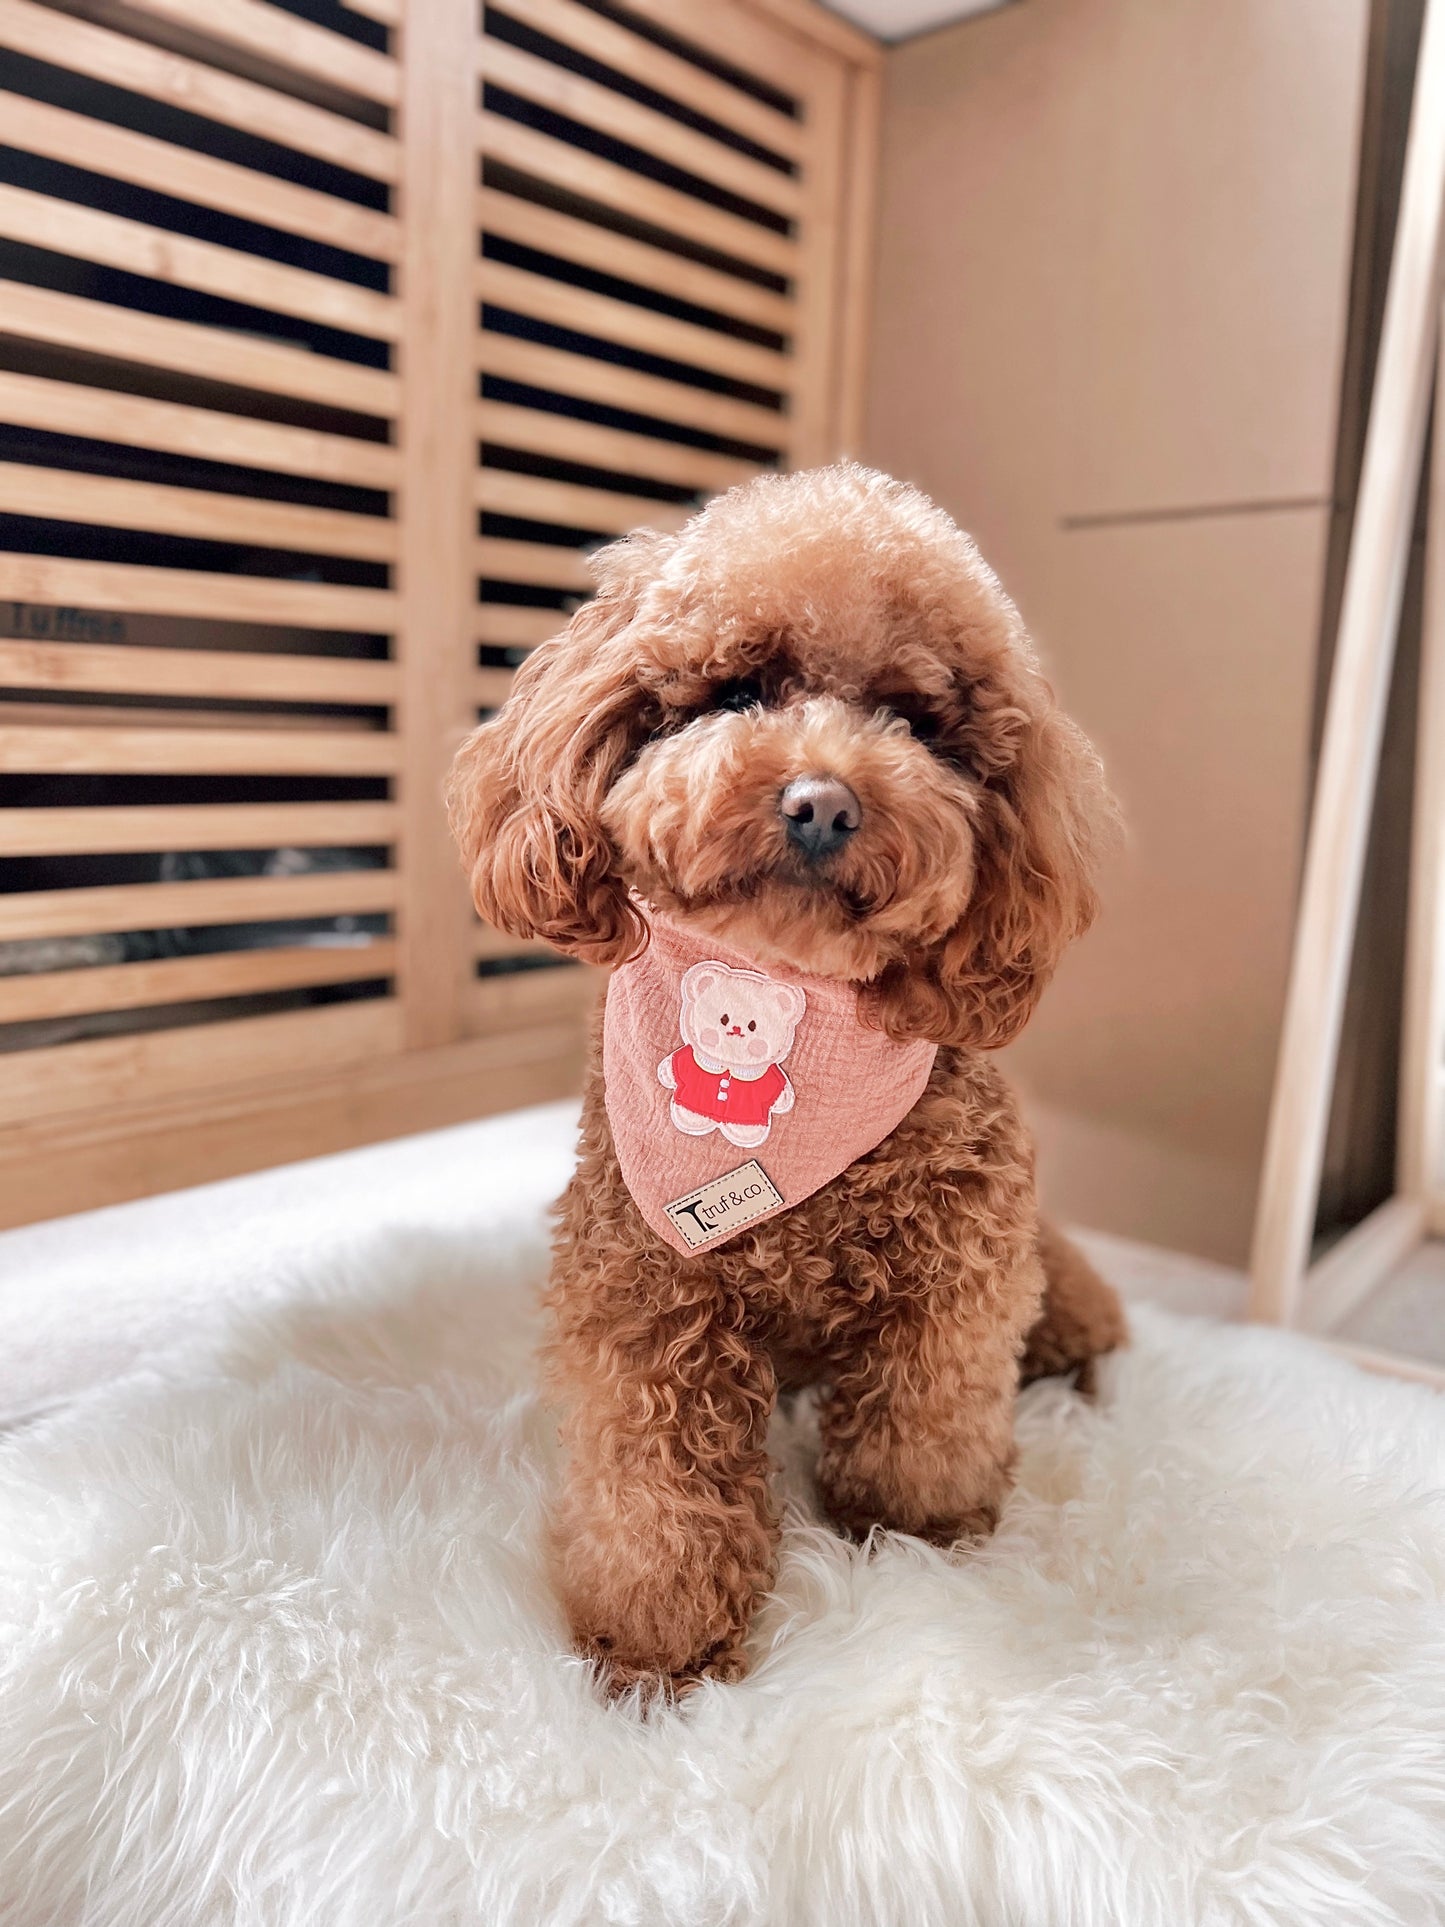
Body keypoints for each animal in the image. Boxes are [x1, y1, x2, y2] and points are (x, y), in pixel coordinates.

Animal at [658, 960, 807, 1148]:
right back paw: (690, 1117)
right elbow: (674, 1064)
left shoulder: (774, 1079)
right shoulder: (684, 1058)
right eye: (724, 1019)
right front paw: (666, 1073)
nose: (736, 1029)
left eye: (752, 1025)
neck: (730, 1066)